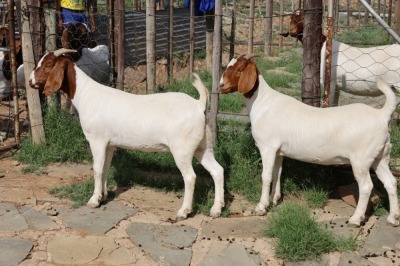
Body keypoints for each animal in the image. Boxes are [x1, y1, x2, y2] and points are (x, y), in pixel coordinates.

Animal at [28, 48, 225, 219]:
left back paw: (184, 211)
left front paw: (93, 200)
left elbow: (97, 169)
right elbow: (105, 168)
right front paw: (103, 196)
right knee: (218, 170)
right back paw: (216, 209)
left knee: (190, 177)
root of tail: (198, 105)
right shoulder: (109, 144)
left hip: (182, 148)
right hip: (203, 146)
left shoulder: (97, 140)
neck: (86, 95)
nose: (30, 81)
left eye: (48, 64)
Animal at [220, 54, 398, 227]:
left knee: (366, 186)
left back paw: (355, 219)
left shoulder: (267, 147)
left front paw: (261, 207)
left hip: (361, 159)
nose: (221, 85)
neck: (262, 101)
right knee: (391, 182)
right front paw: (274, 200)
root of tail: (381, 115)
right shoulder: (278, 151)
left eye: (239, 69)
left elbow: (266, 176)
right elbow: (278, 173)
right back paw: (393, 218)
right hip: (380, 156)